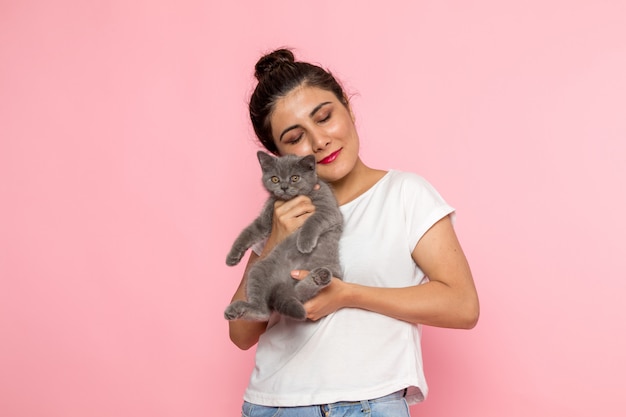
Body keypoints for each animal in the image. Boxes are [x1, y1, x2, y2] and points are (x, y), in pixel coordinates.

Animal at [224, 151, 342, 320]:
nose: (284, 187)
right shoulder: (266, 220)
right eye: (275, 179)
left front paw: (304, 243)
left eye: (295, 178)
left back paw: (320, 277)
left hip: (331, 270)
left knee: (298, 296)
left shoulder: (329, 209)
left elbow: (313, 220)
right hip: (258, 269)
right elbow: (248, 232)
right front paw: (232, 257)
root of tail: (283, 282)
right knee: (265, 311)